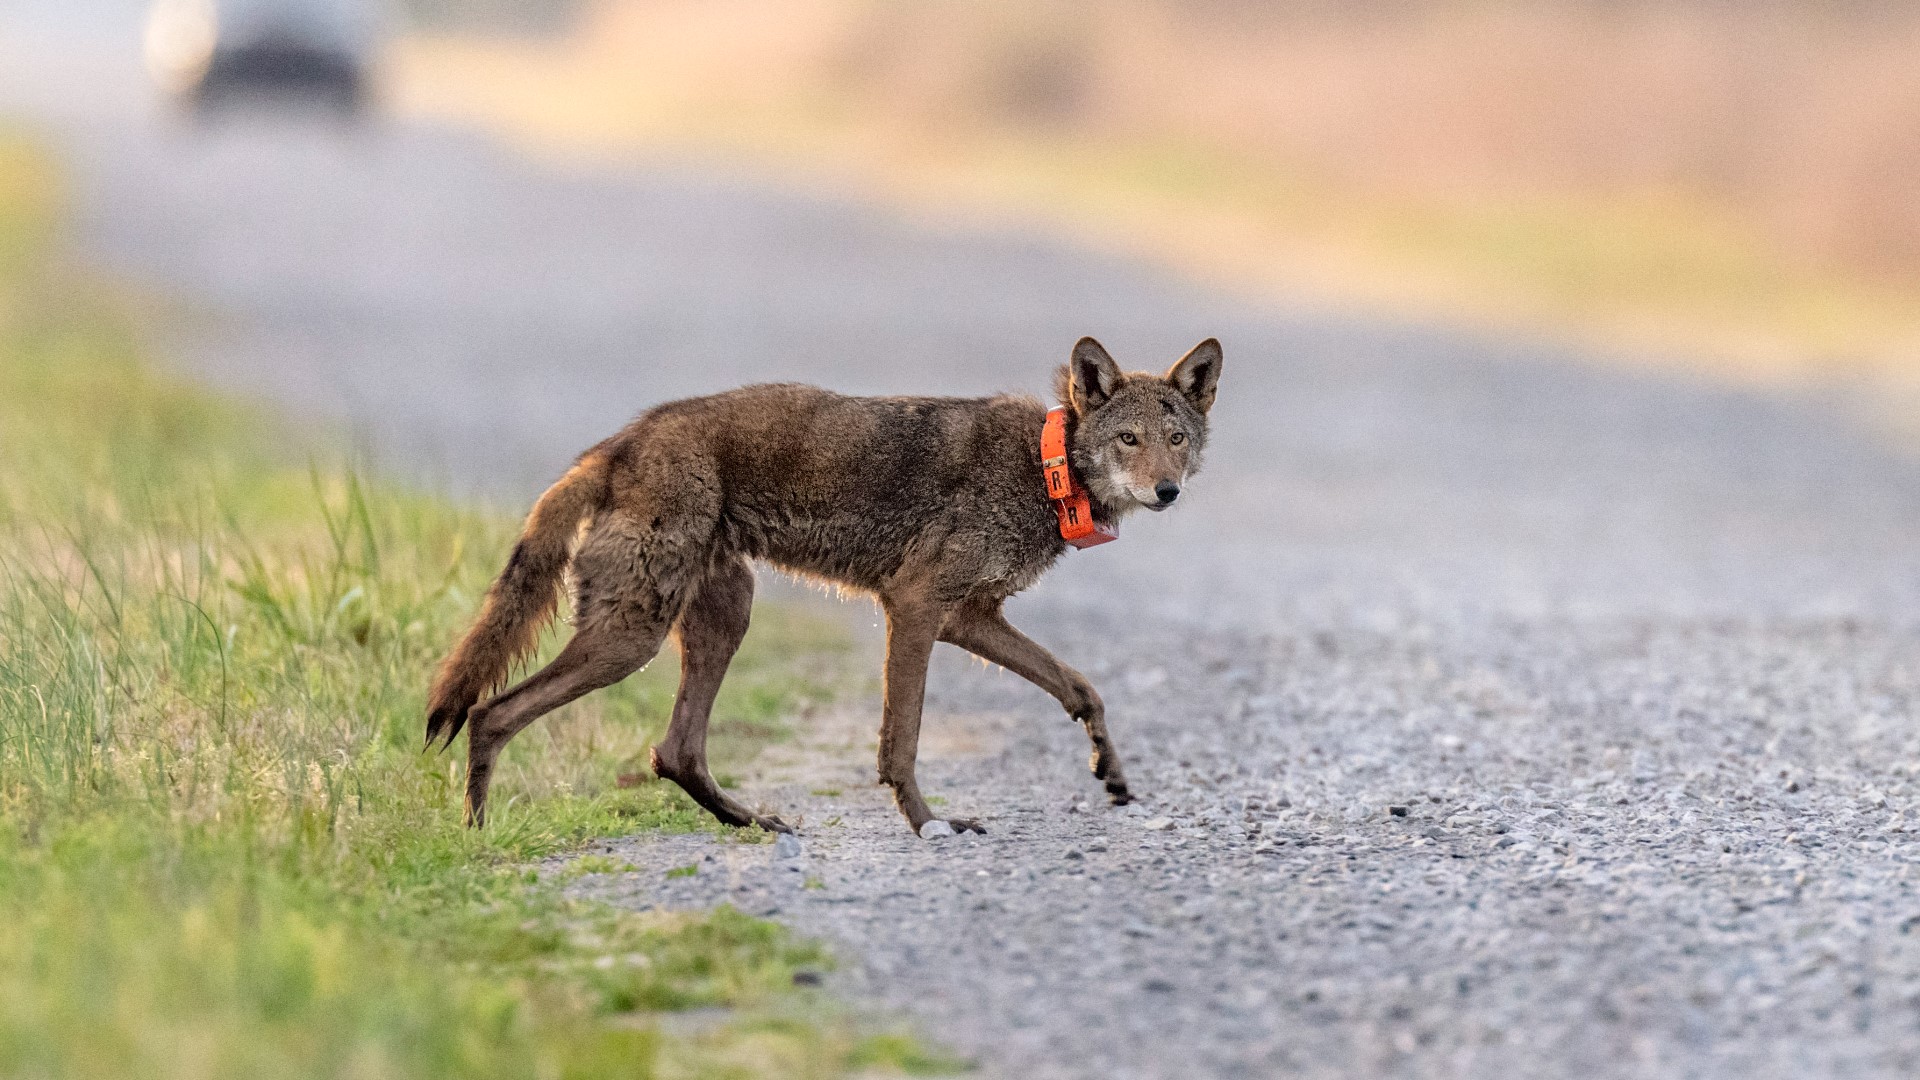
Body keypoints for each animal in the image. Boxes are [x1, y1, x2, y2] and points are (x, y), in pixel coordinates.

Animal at [428, 334, 1221, 834]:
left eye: (1176, 439)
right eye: (1128, 440)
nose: (1168, 491)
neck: (1045, 466)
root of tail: (620, 442)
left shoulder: (969, 617)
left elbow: (1080, 687)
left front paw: (1110, 772)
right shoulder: (916, 606)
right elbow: (902, 739)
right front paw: (931, 824)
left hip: (720, 619)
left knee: (675, 751)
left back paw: (753, 821)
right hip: (632, 638)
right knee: (492, 713)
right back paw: (476, 838)